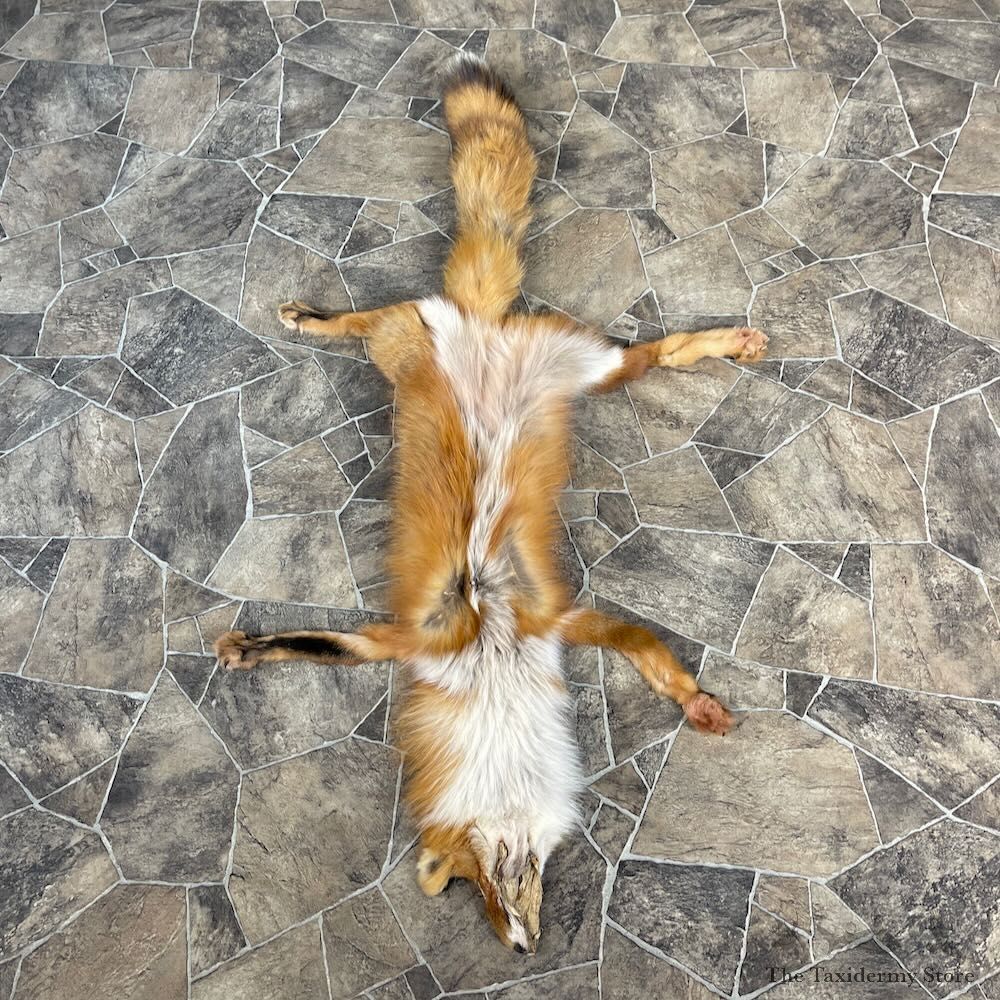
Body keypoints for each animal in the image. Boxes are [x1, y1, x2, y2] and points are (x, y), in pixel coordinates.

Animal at [214, 54, 767, 954]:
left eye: (473, 880)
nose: (521, 948)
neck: (495, 658)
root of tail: (477, 320)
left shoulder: (539, 624)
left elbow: (658, 664)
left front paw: (695, 704)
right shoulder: (435, 638)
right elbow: (316, 643)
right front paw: (252, 650)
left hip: (461, 349)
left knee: (367, 320)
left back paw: (313, 316)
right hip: (590, 367)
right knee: (658, 351)